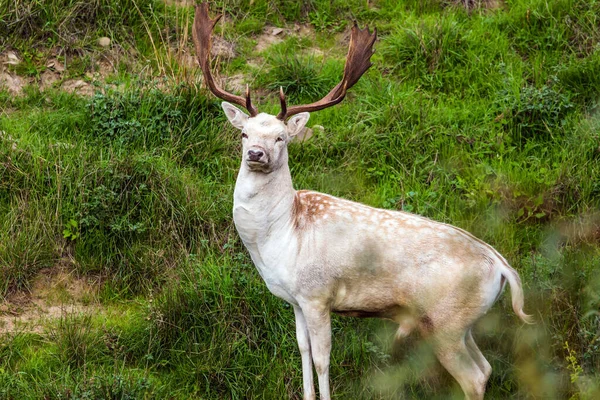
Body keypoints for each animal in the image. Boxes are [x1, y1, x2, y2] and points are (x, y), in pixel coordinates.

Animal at [191, 3, 528, 400]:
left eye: (281, 137)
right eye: (244, 133)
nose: (256, 154)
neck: (280, 238)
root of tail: (501, 266)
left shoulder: (318, 294)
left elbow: (322, 359)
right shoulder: (295, 299)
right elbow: (301, 350)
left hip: (445, 320)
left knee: (473, 376)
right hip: (462, 324)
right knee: (486, 367)